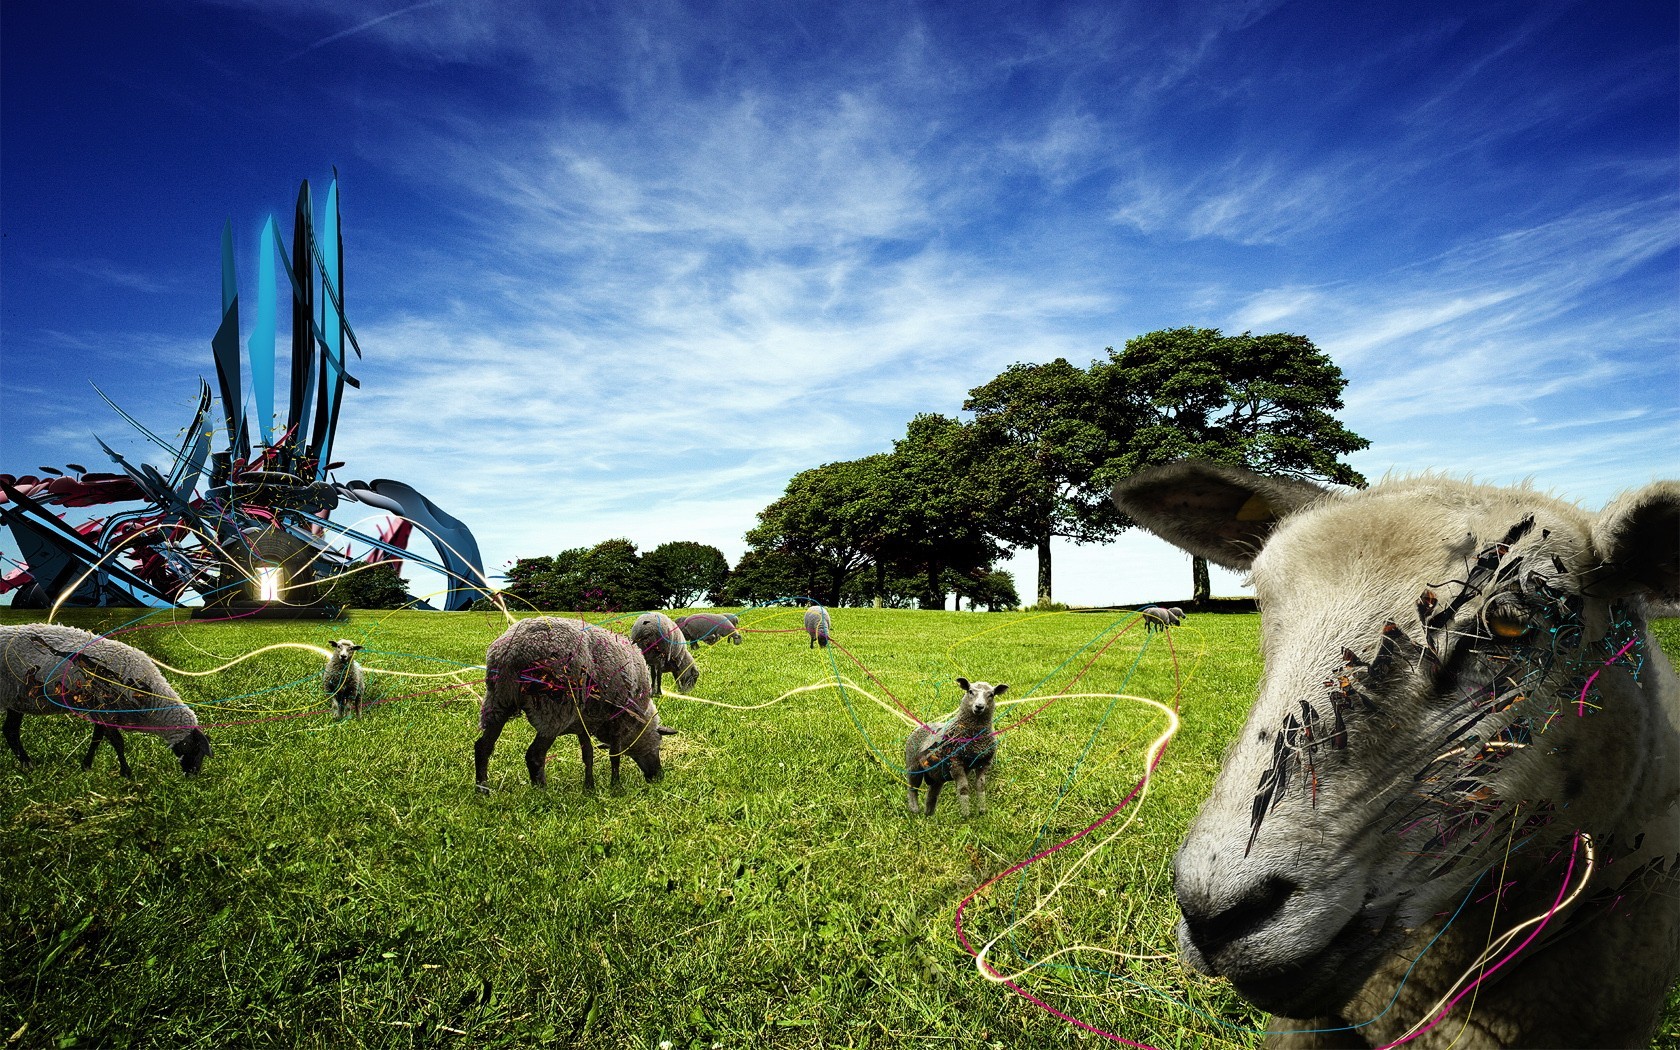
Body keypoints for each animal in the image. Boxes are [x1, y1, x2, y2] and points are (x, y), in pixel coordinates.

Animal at [0, 623, 212, 777]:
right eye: (196, 749)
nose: (193, 776)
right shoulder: (105, 709)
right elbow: (118, 742)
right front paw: (126, 772)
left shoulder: (102, 712)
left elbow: (97, 739)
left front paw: (86, 766)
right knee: (10, 731)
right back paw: (27, 764)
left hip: (16, 699)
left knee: (10, 731)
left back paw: (27, 764)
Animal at [476, 616, 676, 792]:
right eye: (659, 742)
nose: (658, 776)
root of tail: (513, 649)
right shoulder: (618, 721)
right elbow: (614, 756)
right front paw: (616, 786)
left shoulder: (584, 723)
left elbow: (588, 755)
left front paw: (589, 788)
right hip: (554, 707)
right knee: (534, 754)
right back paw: (542, 792)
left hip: (498, 700)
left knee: (483, 746)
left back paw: (482, 789)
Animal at [905, 677, 1007, 818]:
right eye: (970, 691)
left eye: (991, 694)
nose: (979, 706)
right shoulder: (955, 763)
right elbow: (963, 788)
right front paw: (966, 814)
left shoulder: (984, 763)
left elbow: (981, 786)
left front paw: (982, 810)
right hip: (913, 766)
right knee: (912, 788)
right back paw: (914, 809)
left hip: (936, 776)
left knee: (932, 793)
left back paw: (929, 814)